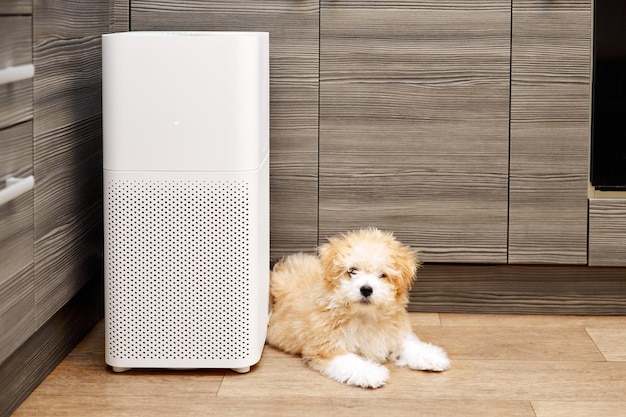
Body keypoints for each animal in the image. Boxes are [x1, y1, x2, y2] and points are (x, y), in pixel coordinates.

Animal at [266, 228, 448, 386]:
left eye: (382, 275)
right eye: (352, 271)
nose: (366, 289)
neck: (364, 316)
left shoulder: (394, 333)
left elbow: (408, 343)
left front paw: (432, 356)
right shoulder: (325, 347)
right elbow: (350, 361)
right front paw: (371, 372)